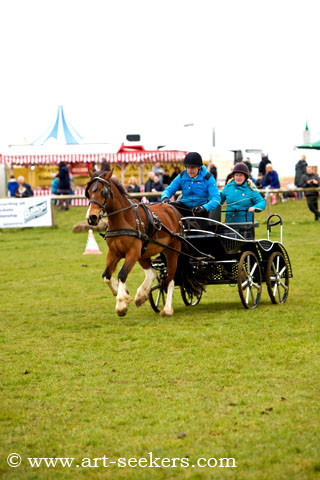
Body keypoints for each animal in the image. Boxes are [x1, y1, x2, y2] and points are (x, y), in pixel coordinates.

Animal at [85, 171, 182, 316]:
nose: (92, 217)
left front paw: (121, 305)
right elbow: (106, 276)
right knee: (152, 273)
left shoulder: (133, 252)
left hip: (172, 251)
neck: (123, 219)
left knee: (170, 279)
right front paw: (122, 292)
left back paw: (167, 309)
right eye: (89, 192)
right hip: (144, 253)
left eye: (104, 192)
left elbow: (122, 274)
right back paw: (141, 295)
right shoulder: (114, 252)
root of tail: (171, 208)